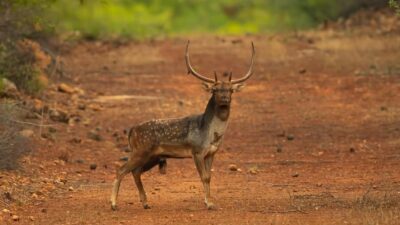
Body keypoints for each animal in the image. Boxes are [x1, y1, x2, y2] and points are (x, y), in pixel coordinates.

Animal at [111, 40, 255, 211]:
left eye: (231, 90)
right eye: (214, 89)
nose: (225, 98)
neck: (211, 135)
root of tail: (132, 130)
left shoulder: (212, 153)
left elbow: (209, 176)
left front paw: (209, 201)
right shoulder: (197, 151)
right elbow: (204, 177)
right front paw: (209, 204)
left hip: (151, 155)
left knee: (135, 171)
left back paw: (145, 203)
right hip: (141, 150)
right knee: (121, 169)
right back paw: (113, 204)